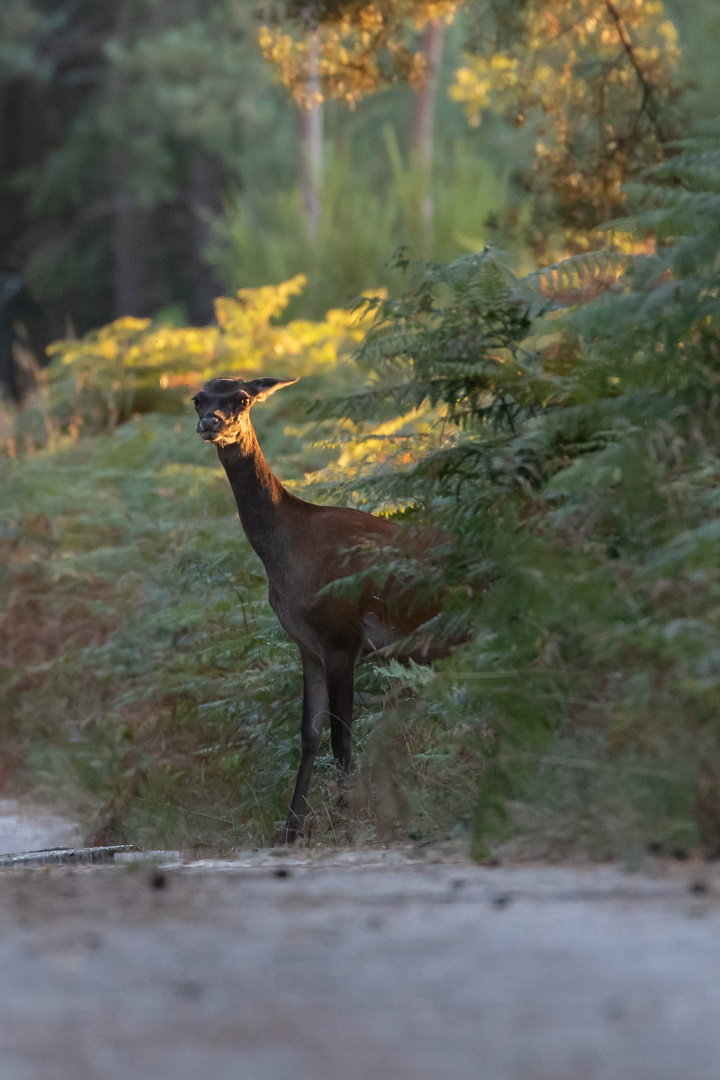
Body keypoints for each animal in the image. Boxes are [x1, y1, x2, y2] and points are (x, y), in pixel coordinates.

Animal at [195, 378, 444, 842]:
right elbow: (309, 734)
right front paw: (291, 829)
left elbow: (341, 737)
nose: (211, 423)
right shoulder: (307, 645)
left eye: (242, 398)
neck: (288, 558)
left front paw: (345, 819)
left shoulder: (341, 636)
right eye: (198, 399)